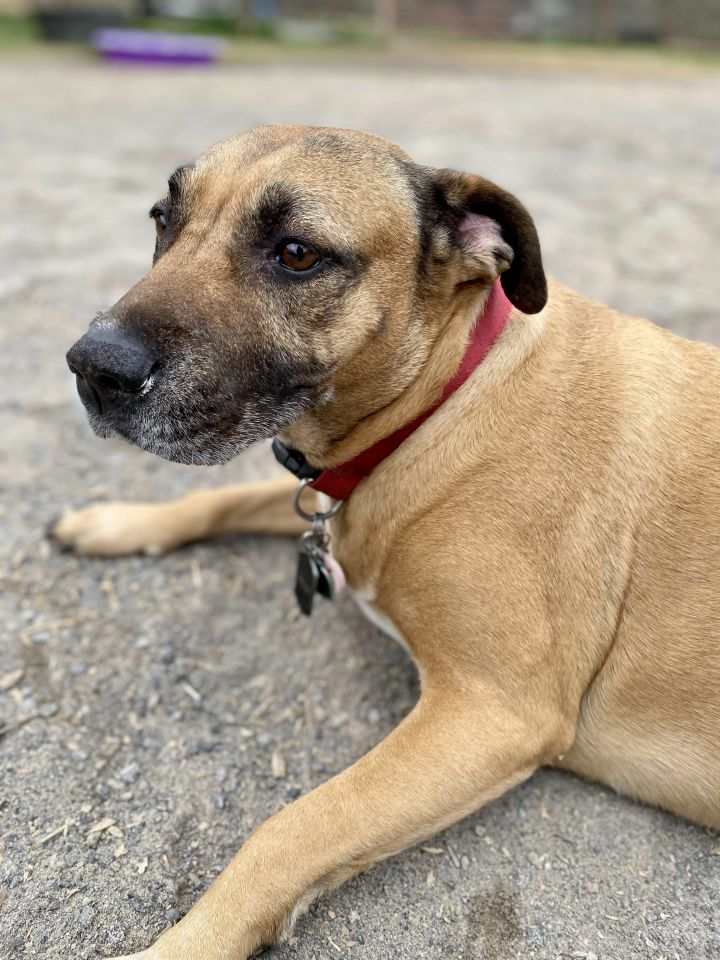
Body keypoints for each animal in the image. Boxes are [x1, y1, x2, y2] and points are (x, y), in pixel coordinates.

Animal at [53, 125, 716, 960]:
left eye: (297, 253)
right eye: (162, 219)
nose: (91, 368)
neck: (442, 400)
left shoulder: (494, 713)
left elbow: (289, 829)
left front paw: (184, 945)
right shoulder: (335, 498)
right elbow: (223, 495)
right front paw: (115, 522)